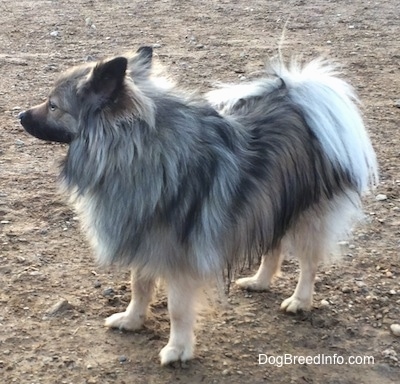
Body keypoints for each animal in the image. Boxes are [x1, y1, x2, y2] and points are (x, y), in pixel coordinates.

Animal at [18, 46, 378, 364]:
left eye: (53, 106)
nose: (19, 114)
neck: (138, 152)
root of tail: (303, 102)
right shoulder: (145, 239)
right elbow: (139, 286)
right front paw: (131, 320)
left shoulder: (179, 256)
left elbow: (177, 309)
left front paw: (178, 350)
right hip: (267, 203)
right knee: (272, 246)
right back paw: (259, 282)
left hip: (306, 216)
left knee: (308, 263)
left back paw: (299, 301)